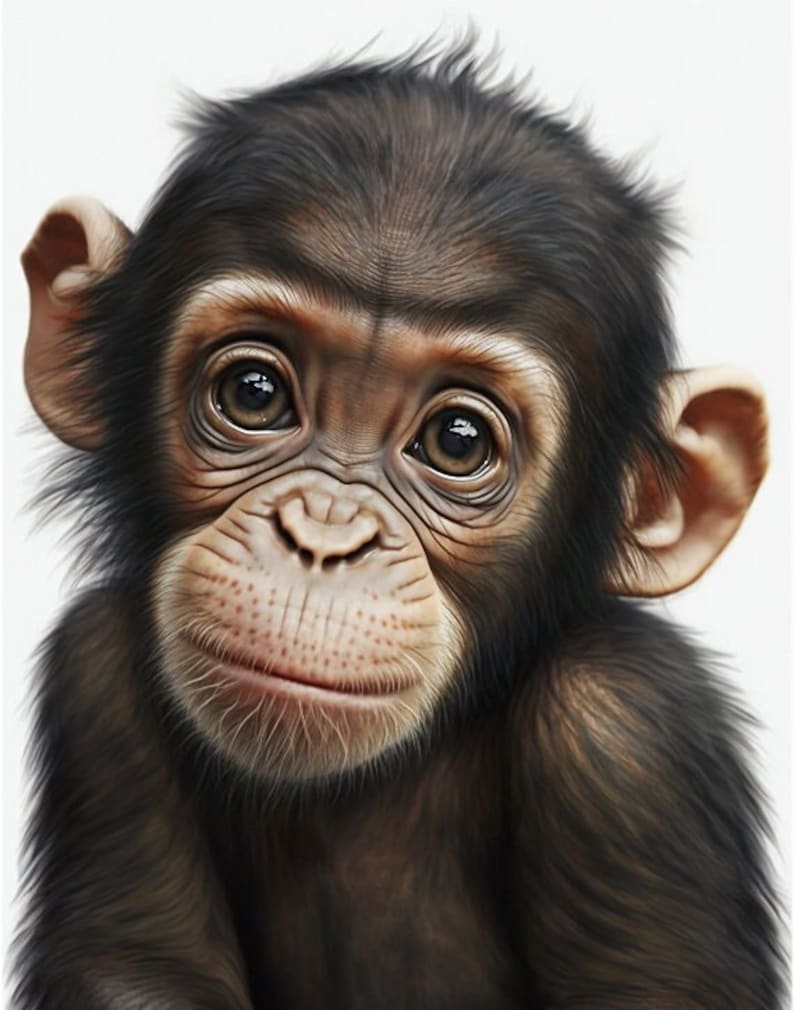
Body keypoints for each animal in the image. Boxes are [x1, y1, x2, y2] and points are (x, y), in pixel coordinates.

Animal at [12, 43, 784, 1010]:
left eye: (457, 442)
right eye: (254, 393)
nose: (324, 537)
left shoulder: (629, 731)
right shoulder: (94, 673)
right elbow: (137, 964)